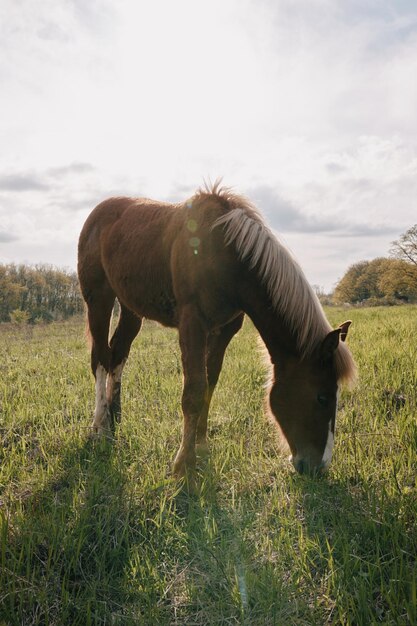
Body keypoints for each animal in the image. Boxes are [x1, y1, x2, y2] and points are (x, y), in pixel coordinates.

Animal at [77, 183, 354, 476]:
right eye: (322, 397)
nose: (319, 466)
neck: (226, 253)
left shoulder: (224, 330)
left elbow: (210, 384)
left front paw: (201, 445)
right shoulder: (192, 324)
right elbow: (194, 390)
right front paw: (183, 463)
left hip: (131, 308)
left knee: (118, 354)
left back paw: (114, 417)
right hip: (99, 299)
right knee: (101, 359)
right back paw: (100, 428)